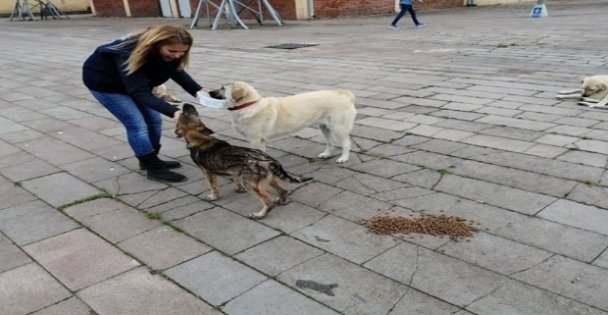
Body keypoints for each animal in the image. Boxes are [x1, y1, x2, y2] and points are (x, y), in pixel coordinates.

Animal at [175, 103, 308, 220]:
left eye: (185, 114)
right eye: (189, 113)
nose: (187, 104)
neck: (201, 139)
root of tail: (269, 160)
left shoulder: (208, 173)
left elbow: (214, 187)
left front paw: (213, 197)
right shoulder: (234, 172)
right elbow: (235, 179)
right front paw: (238, 189)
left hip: (250, 184)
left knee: (268, 202)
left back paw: (259, 215)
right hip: (268, 180)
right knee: (283, 191)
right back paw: (280, 200)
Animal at [209, 81, 356, 163]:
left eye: (223, 88)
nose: (209, 92)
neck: (248, 105)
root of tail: (343, 93)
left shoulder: (256, 140)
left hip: (338, 127)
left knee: (346, 143)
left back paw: (344, 158)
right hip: (324, 126)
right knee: (331, 142)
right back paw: (326, 154)